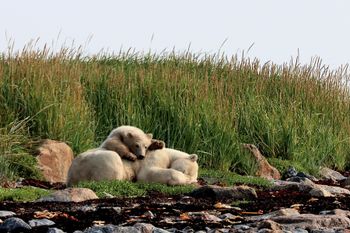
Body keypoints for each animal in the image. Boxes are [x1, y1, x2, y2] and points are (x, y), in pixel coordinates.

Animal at [66, 147, 198, 186]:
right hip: (93, 162)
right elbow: (147, 173)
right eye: (184, 171)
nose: (189, 180)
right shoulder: (155, 155)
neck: (169, 153)